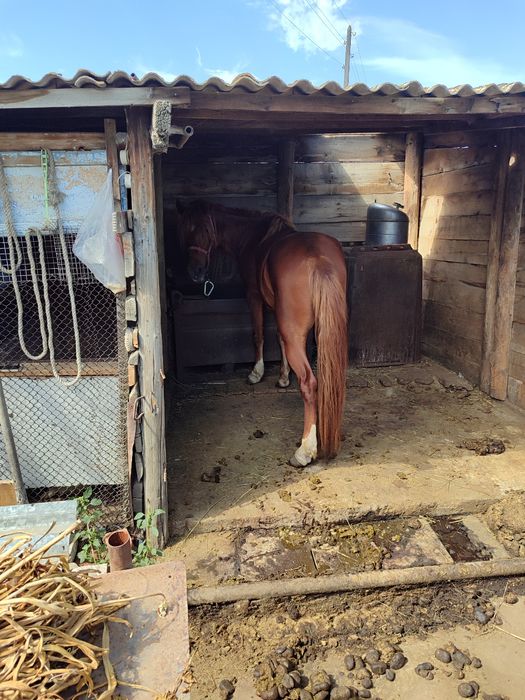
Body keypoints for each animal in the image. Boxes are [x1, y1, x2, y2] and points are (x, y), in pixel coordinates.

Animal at [176, 200, 347, 467]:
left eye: (205, 230)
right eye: (185, 229)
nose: (196, 272)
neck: (254, 237)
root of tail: (318, 260)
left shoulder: (254, 297)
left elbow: (258, 335)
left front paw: (256, 373)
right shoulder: (278, 311)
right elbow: (278, 339)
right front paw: (283, 377)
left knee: (309, 384)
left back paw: (304, 451)